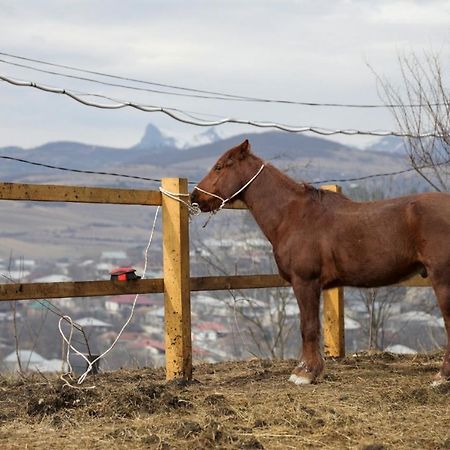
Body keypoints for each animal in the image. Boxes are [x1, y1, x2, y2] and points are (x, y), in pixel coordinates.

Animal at [192, 140, 450, 384]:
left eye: (219, 167)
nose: (195, 197)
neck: (292, 216)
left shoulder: (305, 282)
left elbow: (308, 327)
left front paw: (305, 373)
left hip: (442, 279)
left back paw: (441, 376)